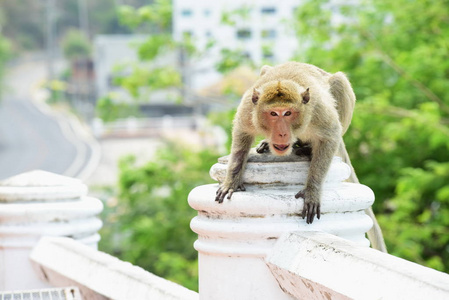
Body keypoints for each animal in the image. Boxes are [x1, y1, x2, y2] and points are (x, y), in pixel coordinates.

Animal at [215, 62, 386, 252]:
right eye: (273, 114)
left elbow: (330, 136)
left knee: (340, 82)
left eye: (288, 113)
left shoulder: (318, 110)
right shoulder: (248, 109)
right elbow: (241, 133)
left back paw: (307, 148)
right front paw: (232, 180)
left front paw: (312, 191)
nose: (281, 133)